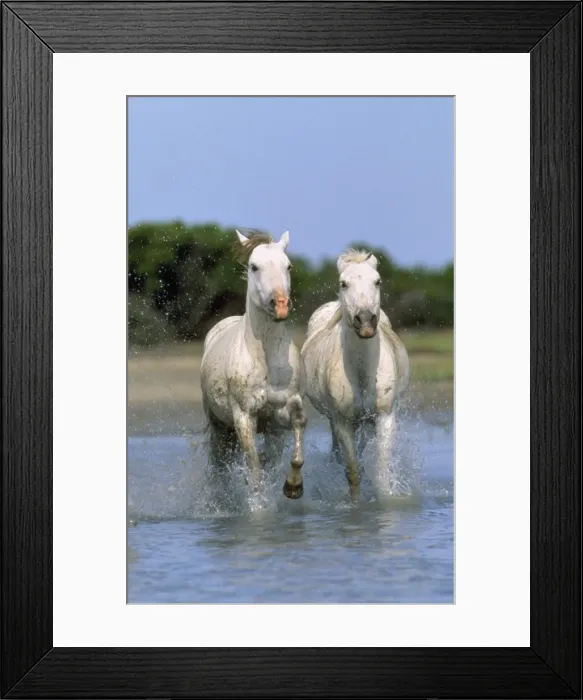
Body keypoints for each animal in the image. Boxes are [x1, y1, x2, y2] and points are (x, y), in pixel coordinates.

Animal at [200, 230, 308, 499]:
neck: (265, 357)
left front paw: (293, 486)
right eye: (254, 266)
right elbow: (255, 470)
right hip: (219, 426)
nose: (280, 304)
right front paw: (258, 505)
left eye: (288, 266)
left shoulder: (279, 417)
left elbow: (298, 425)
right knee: (219, 465)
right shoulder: (244, 417)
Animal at [301, 248, 410, 497]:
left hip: (366, 421)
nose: (366, 321)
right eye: (343, 283)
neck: (361, 373)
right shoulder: (342, 422)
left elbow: (381, 471)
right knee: (338, 454)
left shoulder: (384, 416)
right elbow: (352, 472)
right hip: (334, 419)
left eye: (377, 281)